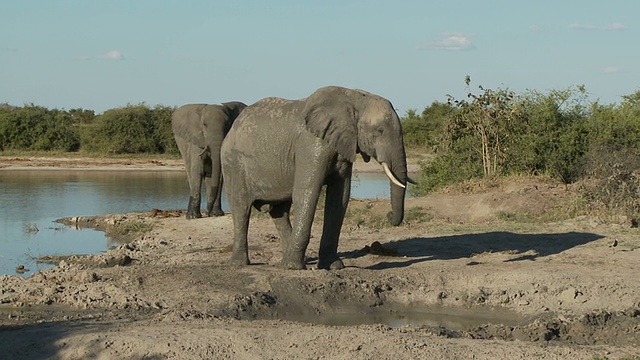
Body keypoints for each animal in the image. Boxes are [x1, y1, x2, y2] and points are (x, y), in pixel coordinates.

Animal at [220, 85, 410, 270]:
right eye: (379, 131)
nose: (389, 215)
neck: (352, 98)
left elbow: (339, 198)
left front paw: (334, 266)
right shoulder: (311, 144)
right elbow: (307, 192)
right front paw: (294, 268)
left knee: (279, 212)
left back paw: (285, 261)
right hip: (233, 164)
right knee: (241, 209)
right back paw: (240, 264)